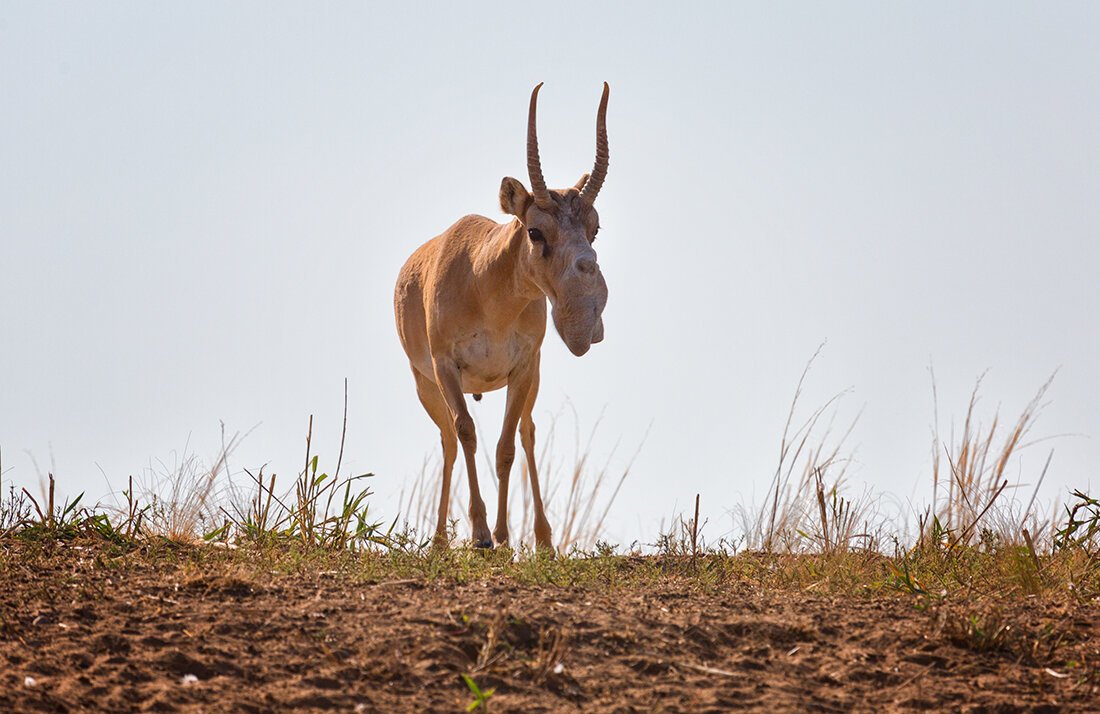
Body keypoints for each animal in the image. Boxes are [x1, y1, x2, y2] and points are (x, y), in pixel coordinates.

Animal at [396, 84, 611, 552]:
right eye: (535, 230)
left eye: (595, 228)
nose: (585, 322)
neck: (485, 286)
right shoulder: (445, 366)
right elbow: (467, 432)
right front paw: (479, 535)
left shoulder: (523, 367)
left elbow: (507, 446)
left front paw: (502, 535)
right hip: (426, 386)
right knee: (449, 440)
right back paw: (439, 540)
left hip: (530, 379)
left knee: (527, 432)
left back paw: (544, 540)